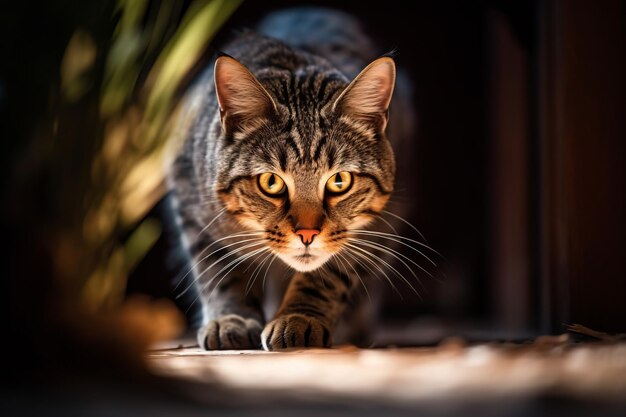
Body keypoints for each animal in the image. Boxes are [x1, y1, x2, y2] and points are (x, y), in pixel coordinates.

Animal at [168, 8, 416, 350]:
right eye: (271, 182)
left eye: (340, 181)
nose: (307, 234)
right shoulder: (190, 203)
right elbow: (218, 270)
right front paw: (230, 318)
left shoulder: (376, 225)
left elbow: (328, 274)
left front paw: (299, 317)